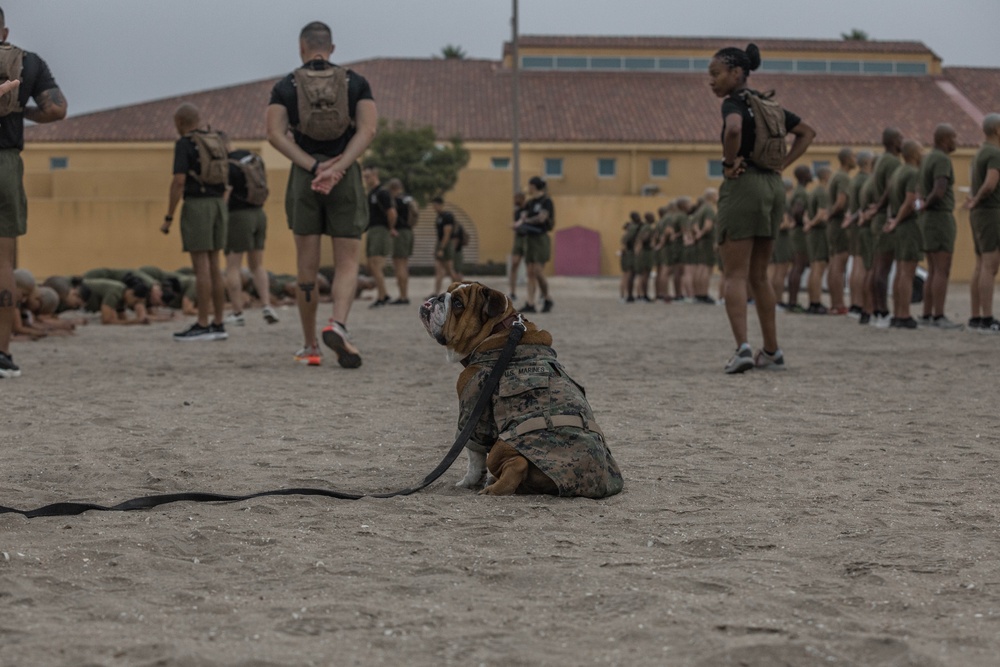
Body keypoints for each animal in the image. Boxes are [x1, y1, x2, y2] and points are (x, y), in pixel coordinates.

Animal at [418, 280, 620, 496]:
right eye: (448, 290)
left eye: (457, 303)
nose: (438, 298)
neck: (498, 329)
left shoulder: (472, 410)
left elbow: (473, 454)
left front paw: (467, 482)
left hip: (501, 445)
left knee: (516, 465)